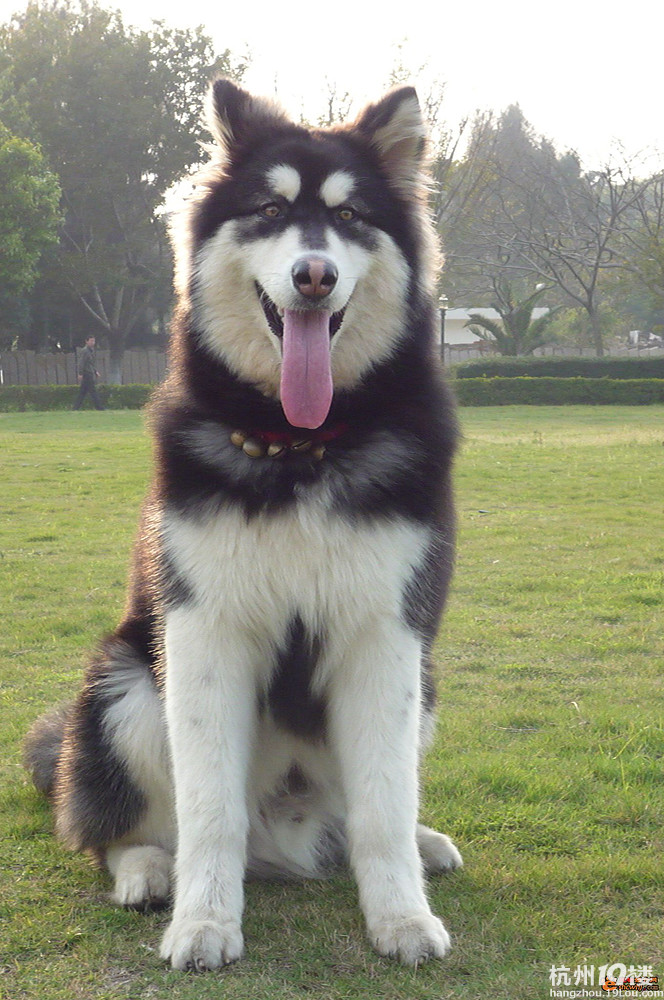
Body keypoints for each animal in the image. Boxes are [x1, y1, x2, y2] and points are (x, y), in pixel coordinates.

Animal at [24, 78, 462, 968]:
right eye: (268, 210)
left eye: (352, 215)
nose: (314, 275)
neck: (299, 446)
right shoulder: (204, 633)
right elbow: (208, 810)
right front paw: (203, 922)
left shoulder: (387, 637)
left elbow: (384, 804)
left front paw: (401, 916)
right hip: (125, 684)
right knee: (113, 827)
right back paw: (147, 872)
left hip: (426, 682)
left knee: (360, 815)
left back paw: (425, 844)